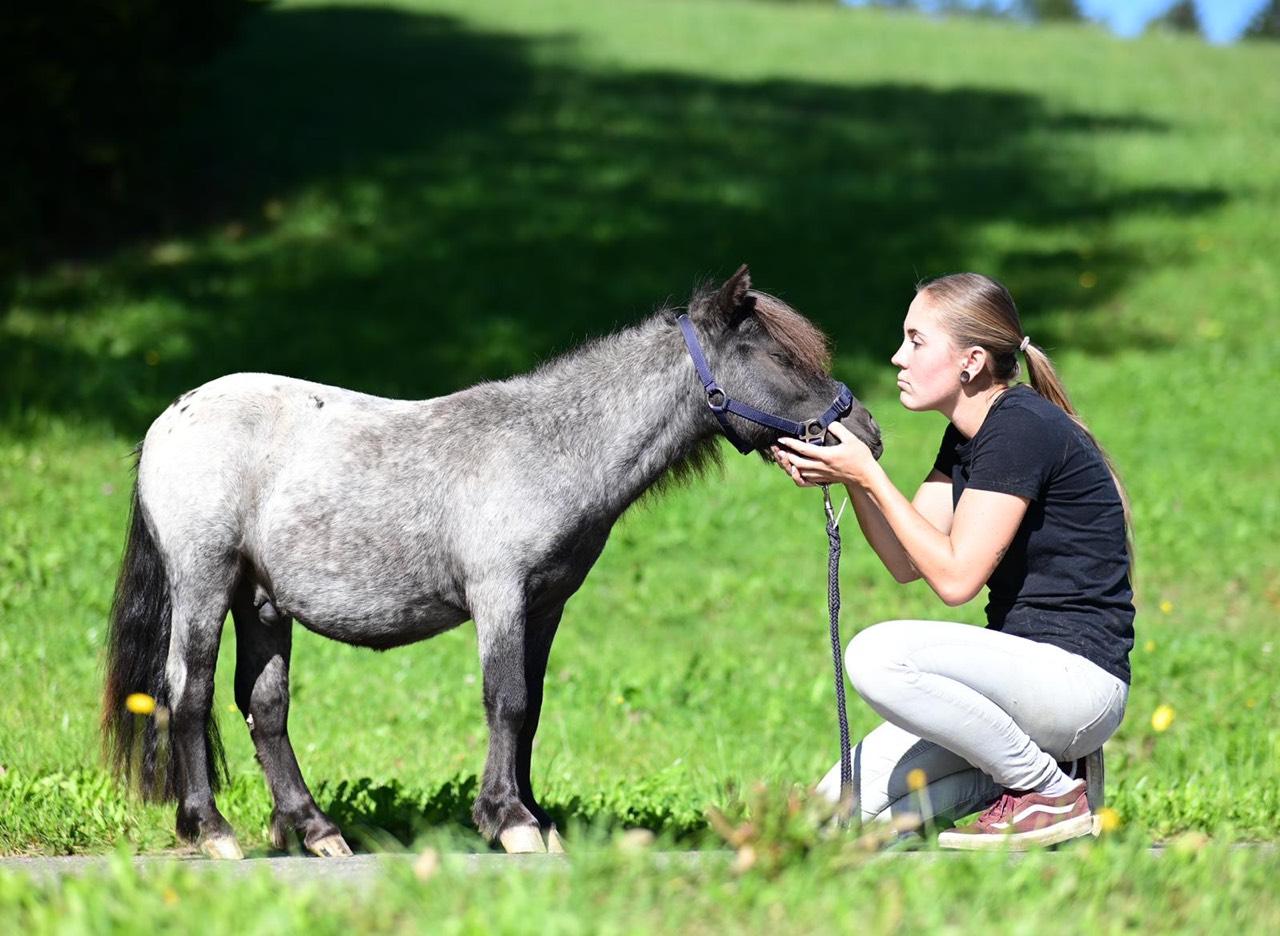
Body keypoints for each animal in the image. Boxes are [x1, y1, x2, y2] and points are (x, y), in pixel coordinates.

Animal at [104, 263, 880, 855]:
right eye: (781, 357)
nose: (867, 434)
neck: (553, 444)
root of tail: (168, 419)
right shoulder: (499, 596)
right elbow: (504, 701)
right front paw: (509, 822)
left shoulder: (545, 606)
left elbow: (530, 707)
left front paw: (538, 817)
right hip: (204, 586)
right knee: (188, 695)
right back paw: (211, 831)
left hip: (261, 603)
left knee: (264, 708)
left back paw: (316, 831)